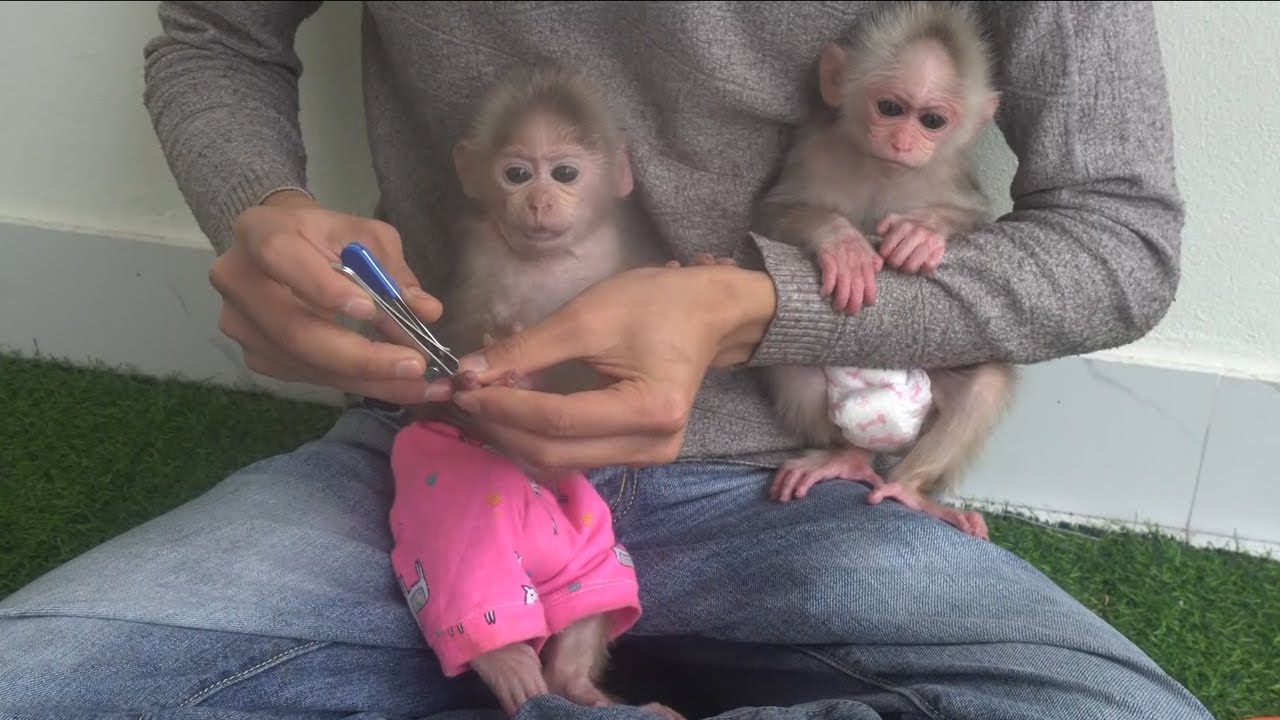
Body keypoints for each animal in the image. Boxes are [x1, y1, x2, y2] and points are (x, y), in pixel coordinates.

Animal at [387, 61, 681, 720]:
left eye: (565, 173)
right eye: (516, 174)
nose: (540, 199)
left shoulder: (621, 259)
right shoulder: (476, 255)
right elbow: (454, 332)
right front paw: (508, 371)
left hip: (585, 530)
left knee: (593, 579)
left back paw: (575, 683)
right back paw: (505, 658)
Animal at [749, 1, 1018, 540]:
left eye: (931, 119)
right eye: (890, 109)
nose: (902, 140)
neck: (884, 171)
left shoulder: (952, 171)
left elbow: (979, 220)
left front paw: (922, 232)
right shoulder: (815, 146)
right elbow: (775, 211)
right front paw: (842, 244)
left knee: (987, 382)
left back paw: (912, 491)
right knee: (789, 362)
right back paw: (847, 456)